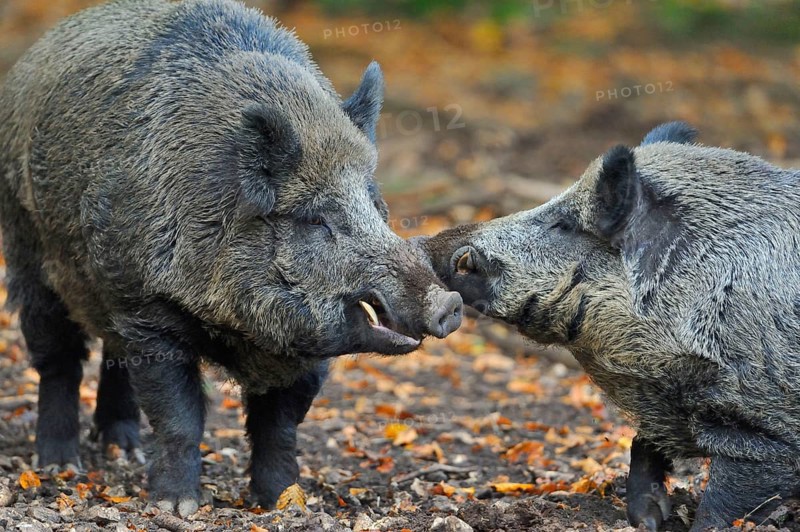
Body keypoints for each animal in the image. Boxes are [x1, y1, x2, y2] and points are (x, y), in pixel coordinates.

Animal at [0, 0, 462, 514]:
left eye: (375, 204)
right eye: (317, 219)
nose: (450, 303)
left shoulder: (304, 349)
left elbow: (279, 426)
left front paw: (284, 503)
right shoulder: (149, 311)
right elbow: (180, 419)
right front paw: (176, 507)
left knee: (112, 354)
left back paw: (125, 450)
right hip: (28, 249)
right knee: (58, 358)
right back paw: (60, 466)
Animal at [418, 122, 800, 531]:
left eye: (564, 224)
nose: (427, 243)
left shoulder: (765, 429)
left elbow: (723, 504)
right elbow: (642, 443)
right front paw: (648, 520)